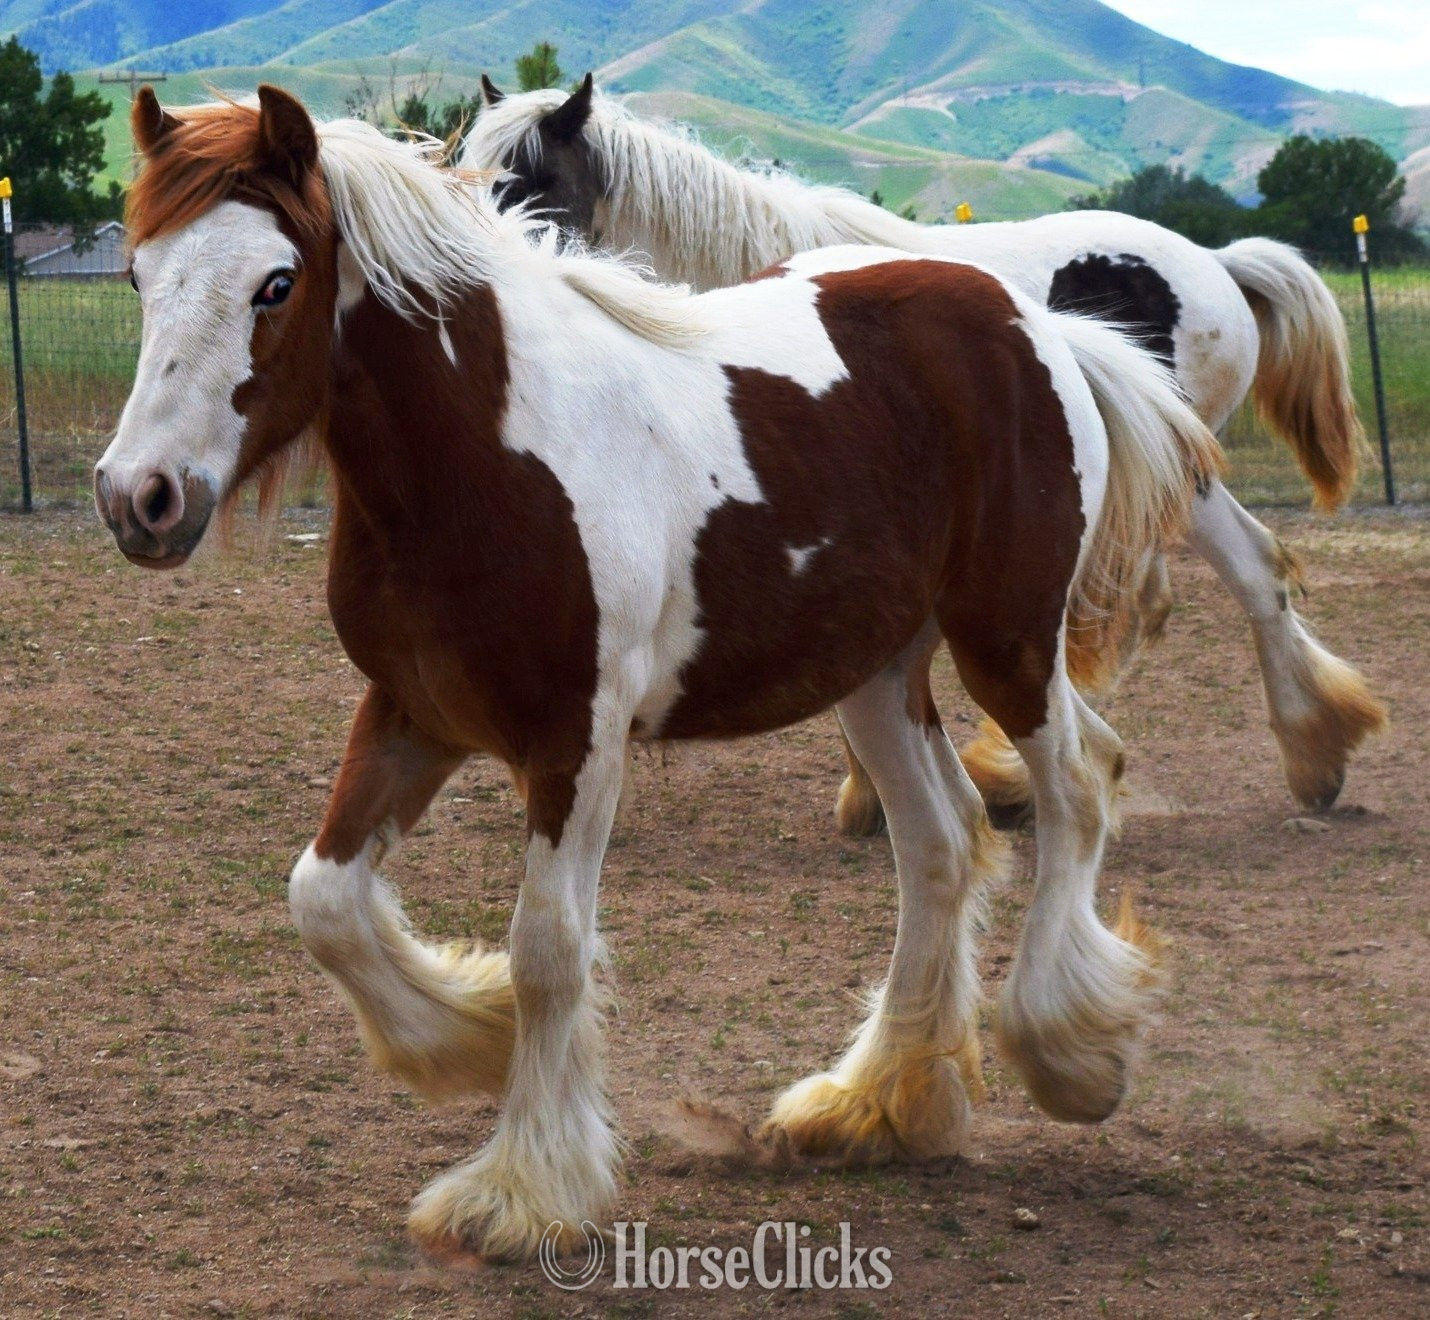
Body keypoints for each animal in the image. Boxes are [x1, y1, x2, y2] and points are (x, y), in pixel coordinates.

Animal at [97, 86, 1220, 1260]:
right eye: (137, 274)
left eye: (275, 283)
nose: (141, 498)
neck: (479, 457)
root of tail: (1039, 325)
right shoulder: (414, 709)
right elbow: (322, 899)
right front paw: (471, 1033)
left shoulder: (576, 741)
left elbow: (549, 946)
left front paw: (522, 1188)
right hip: (872, 672)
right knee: (942, 844)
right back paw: (877, 1102)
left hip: (1005, 636)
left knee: (1078, 784)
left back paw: (1066, 1052)